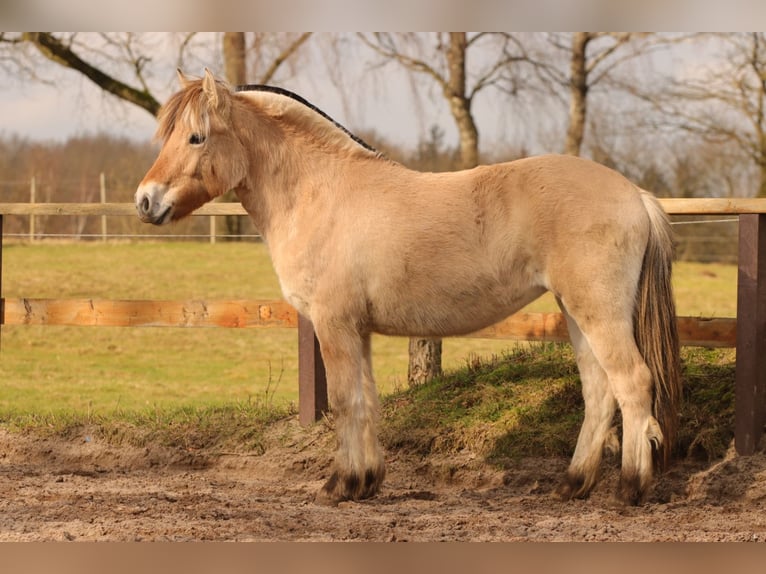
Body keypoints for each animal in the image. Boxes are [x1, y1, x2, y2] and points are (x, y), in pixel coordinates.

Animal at [135, 69, 681, 506]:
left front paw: (340, 485)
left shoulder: (334, 325)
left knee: (632, 383)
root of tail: (634, 194)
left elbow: (344, 401)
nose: (145, 201)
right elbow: (366, 401)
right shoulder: (357, 331)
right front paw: (367, 481)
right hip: (576, 312)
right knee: (598, 391)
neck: (320, 194)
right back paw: (572, 485)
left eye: (196, 137)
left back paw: (630, 489)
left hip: (598, 312)